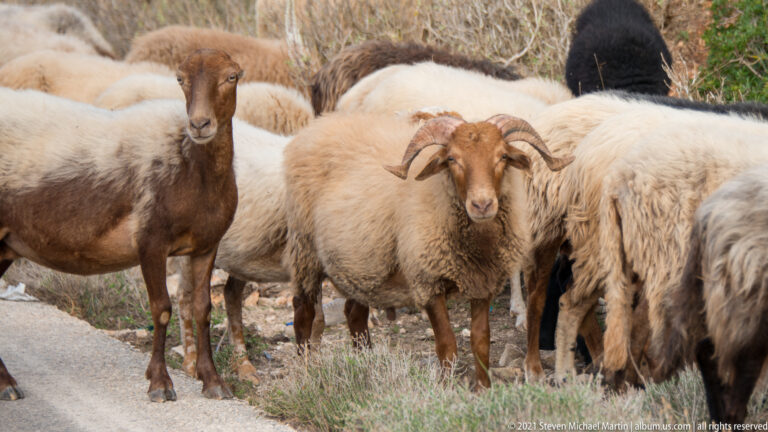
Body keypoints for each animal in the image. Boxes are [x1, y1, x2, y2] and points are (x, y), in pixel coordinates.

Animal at [283, 111, 573, 387]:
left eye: (502, 155)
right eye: (452, 159)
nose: (482, 205)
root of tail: (319, 124)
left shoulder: (482, 283)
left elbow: (481, 342)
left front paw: (483, 389)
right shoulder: (428, 282)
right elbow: (447, 345)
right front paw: (446, 387)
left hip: (360, 262)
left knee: (354, 315)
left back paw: (363, 364)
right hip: (305, 250)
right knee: (303, 313)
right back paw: (304, 371)